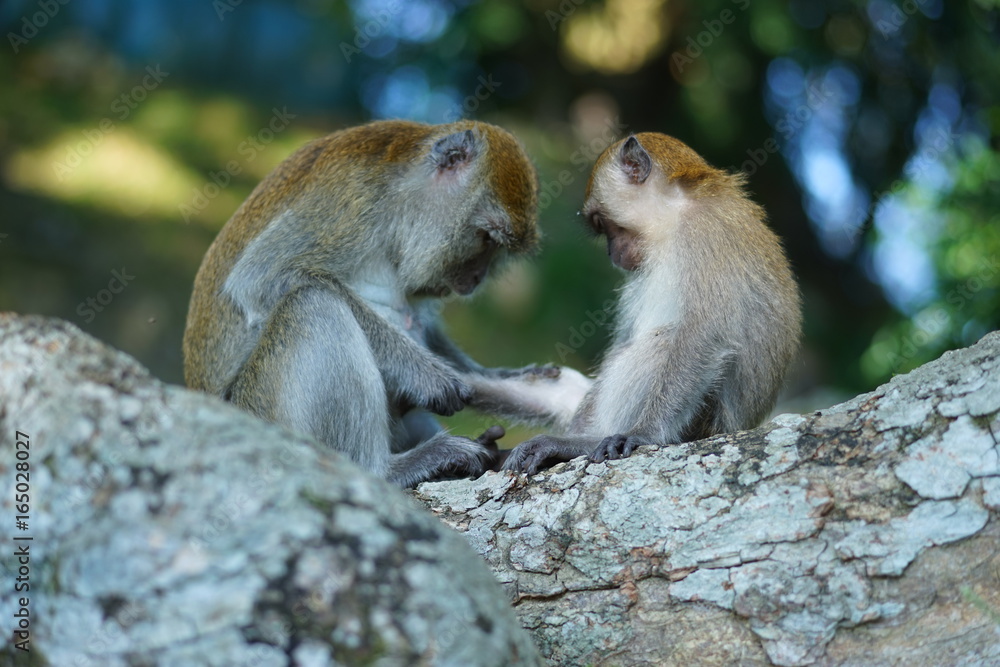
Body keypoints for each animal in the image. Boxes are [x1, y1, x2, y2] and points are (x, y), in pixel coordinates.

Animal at [183, 119, 587, 488]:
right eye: (486, 238)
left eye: (498, 250)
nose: (475, 278)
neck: (398, 197)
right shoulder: (346, 204)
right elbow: (262, 279)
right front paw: (428, 375)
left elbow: (429, 330)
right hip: (263, 415)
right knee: (313, 302)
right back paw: (385, 468)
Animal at [503, 132, 802, 474]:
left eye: (601, 222)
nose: (611, 252)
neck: (673, 217)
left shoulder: (703, 231)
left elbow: (704, 336)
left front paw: (643, 433)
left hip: (703, 422)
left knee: (665, 341)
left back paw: (591, 442)